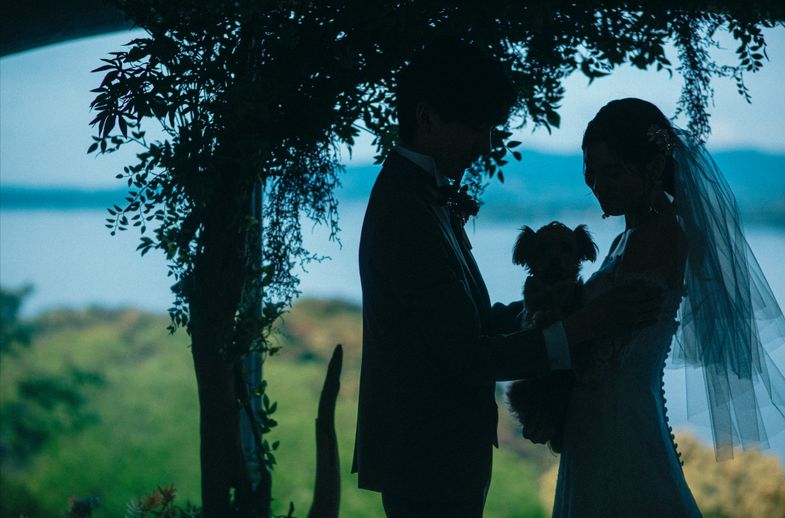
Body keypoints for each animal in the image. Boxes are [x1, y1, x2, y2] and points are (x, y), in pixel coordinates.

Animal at [505, 222, 598, 452]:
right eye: (542, 248)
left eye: (565, 246)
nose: (554, 260)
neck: (552, 288)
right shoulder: (530, 315)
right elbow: (537, 315)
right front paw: (545, 315)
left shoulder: (578, 309)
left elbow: (581, 343)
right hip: (520, 389)